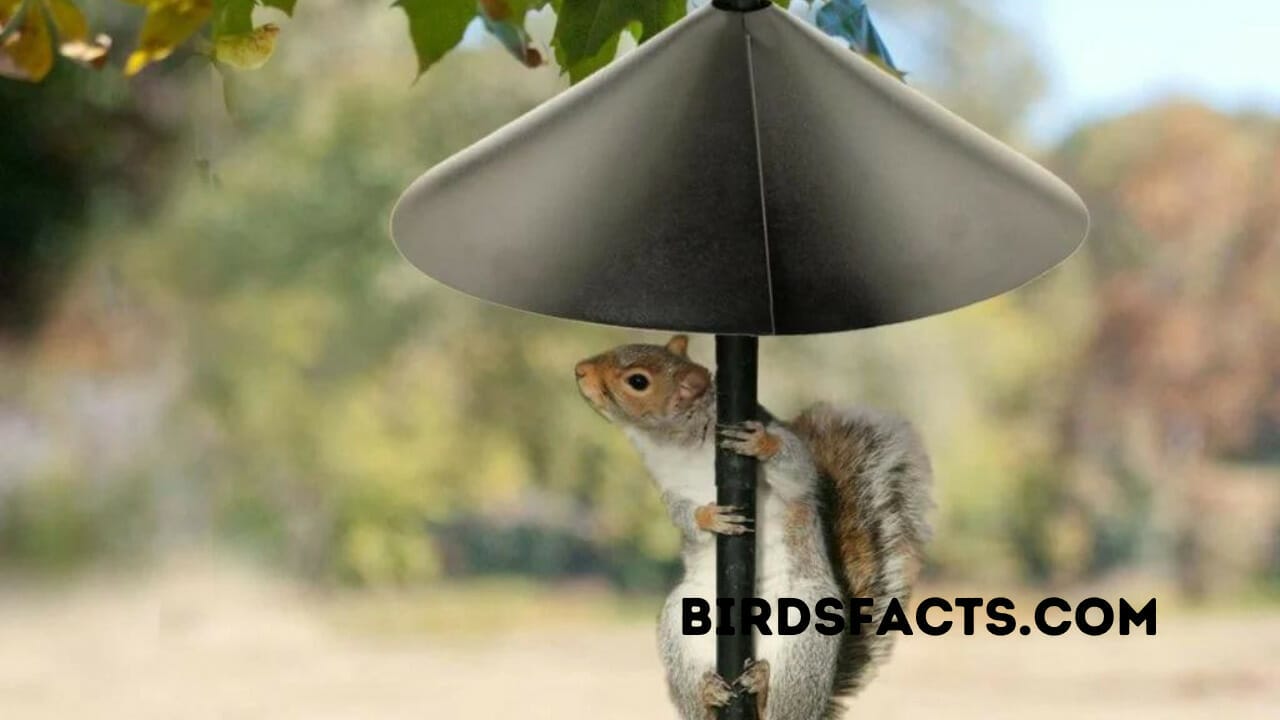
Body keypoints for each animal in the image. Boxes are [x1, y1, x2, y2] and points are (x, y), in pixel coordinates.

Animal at [574, 335, 932, 720]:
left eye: (637, 381)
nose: (580, 370)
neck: (676, 442)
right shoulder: (670, 489)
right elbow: (683, 515)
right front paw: (709, 518)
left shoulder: (790, 460)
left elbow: (796, 471)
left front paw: (761, 444)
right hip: (681, 618)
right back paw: (708, 692)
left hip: (806, 628)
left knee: (779, 709)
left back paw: (761, 687)